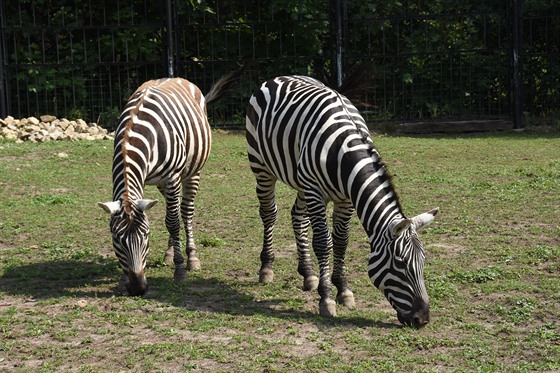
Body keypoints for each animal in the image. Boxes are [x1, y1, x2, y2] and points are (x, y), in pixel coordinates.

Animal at [99, 69, 243, 296]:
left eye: (146, 236)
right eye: (117, 239)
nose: (138, 288)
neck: (135, 134)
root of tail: (173, 77)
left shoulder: (173, 177)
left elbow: (173, 222)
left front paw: (180, 270)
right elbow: (168, 220)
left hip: (192, 172)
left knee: (185, 212)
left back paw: (191, 258)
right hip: (161, 183)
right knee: (172, 210)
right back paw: (169, 253)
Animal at [247, 75, 440, 326]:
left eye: (423, 261)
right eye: (400, 264)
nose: (423, 319)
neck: (344, 153)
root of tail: (281, 77)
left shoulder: (345, 199)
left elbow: (341, 242)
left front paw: (343, 289)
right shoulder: (315, 192)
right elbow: (323, 243)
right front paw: (327, 298)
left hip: (300, 180)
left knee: (297, 217)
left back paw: (308, 274)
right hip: (262, 167)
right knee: (269, 213)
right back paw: (267, 268)